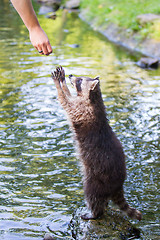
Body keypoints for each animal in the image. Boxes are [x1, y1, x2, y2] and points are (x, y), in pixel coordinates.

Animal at [51, 66, 141, 220]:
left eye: (80, 80)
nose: (71, 75)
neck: (95, 98)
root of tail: (118, 186)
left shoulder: (81, 110)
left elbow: (66, 102)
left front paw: (59, 84)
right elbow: (70, 97)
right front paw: (64, 82)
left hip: (97, 180)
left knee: (92, 195)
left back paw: (95, 213)